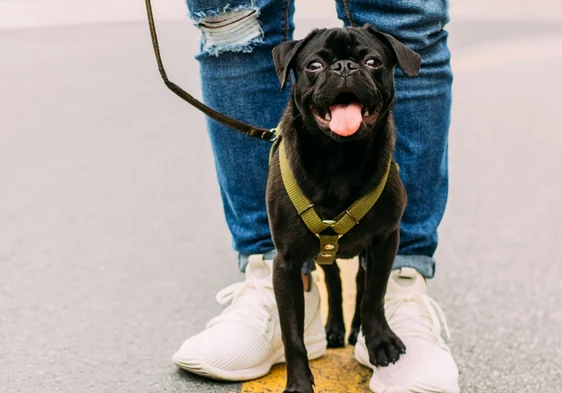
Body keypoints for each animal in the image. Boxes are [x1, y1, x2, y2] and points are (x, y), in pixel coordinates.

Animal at [264, 25, 418, 392]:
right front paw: (299, 383)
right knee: (334, 280)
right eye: (314, 65)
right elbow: (292, 333)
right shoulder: (285, 264)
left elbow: (374, 294)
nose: (344, 67)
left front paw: (379, 341)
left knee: (360, 281)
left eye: (374, 62)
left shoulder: (385, 240)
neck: (339, 160)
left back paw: (357, 329)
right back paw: (334, 328)